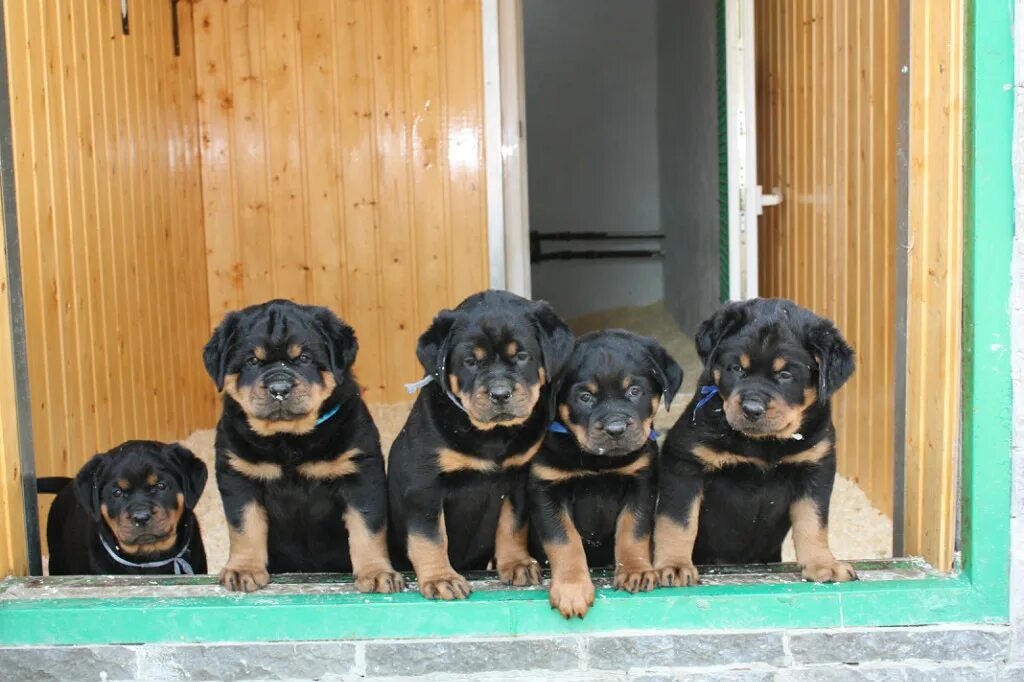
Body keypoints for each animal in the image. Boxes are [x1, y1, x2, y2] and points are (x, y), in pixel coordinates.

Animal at [201, 296, 401, 589]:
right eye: (252, 361)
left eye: (303, 358)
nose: (279, 389)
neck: (287, 441)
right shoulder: (239, 475)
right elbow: (245, 528)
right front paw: (243, 570)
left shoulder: (360, 474)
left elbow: (367, 528)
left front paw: (376, 573)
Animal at [387, 288, 577, 598]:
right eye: (470, 361)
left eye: (522, 356)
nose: (500, 394)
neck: (492, 435)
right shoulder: (424, 483)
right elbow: (429, 536)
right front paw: (440, 578)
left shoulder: (518, 478)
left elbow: (512, 525)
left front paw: (517, 564)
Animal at [532, 329, 684, 614]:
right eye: (585, 397)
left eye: (634, 391)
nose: (615, 429)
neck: (597, 461)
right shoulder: (546, 488)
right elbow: (564, 540)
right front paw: (571, 589)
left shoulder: (641, 482)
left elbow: (632, 530)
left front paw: (636, 570)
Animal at [655, 296, 856, 585]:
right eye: (737, 368)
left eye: (785, 375)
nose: (752, 408)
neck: (764, 443)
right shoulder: (685, 462)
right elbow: (678, 521)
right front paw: (673, 566)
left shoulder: (815, 466)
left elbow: (813, 520)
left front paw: (822, 564)